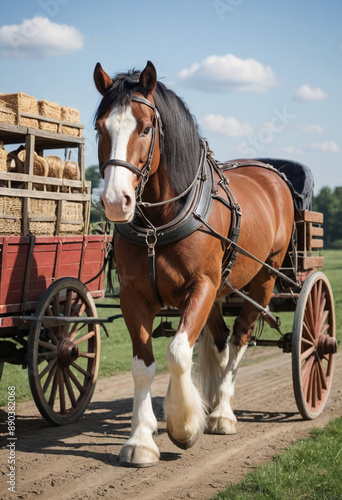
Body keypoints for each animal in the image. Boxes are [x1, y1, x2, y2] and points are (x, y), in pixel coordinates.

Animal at [93, 60, 294, 466]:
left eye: (146, 128)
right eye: (100, 128)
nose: (115, 201)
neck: (159, 223)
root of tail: (270, 173)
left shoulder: (201, 285)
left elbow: (178, 352)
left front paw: (184, 426)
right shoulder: (134, 294)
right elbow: (144, 365)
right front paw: (142, 439)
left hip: (262, 281)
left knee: (240, 339)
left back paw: (222, 413)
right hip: (220, 291)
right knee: (219, 341)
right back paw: (210, 403)